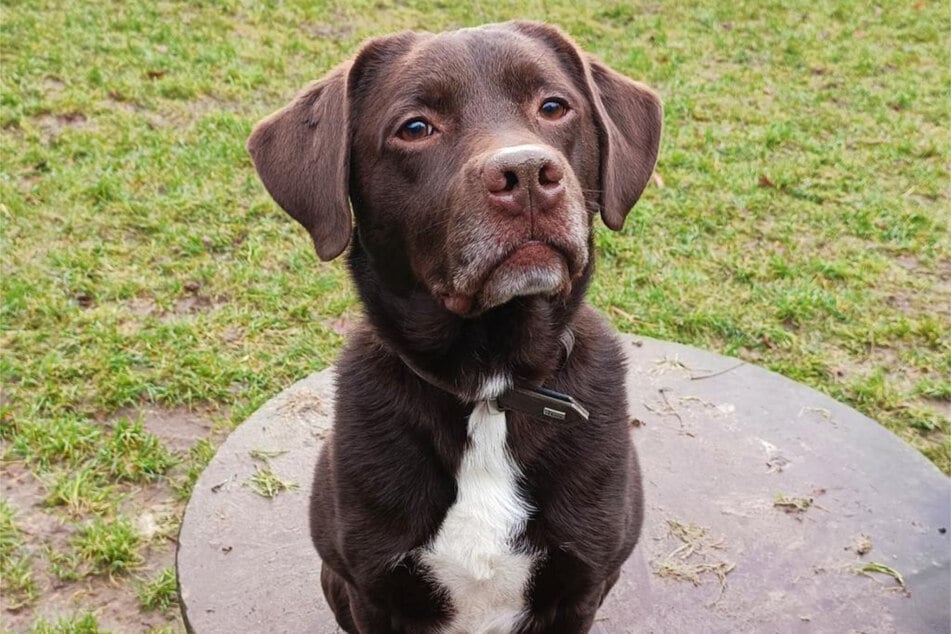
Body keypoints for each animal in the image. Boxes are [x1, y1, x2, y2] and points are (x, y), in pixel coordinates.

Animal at [245, 21, 660, 632]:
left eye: (554, 107)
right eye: (416, 128)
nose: (528, 174)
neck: (491, 385)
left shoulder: (581, 587)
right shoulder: (374, 593)